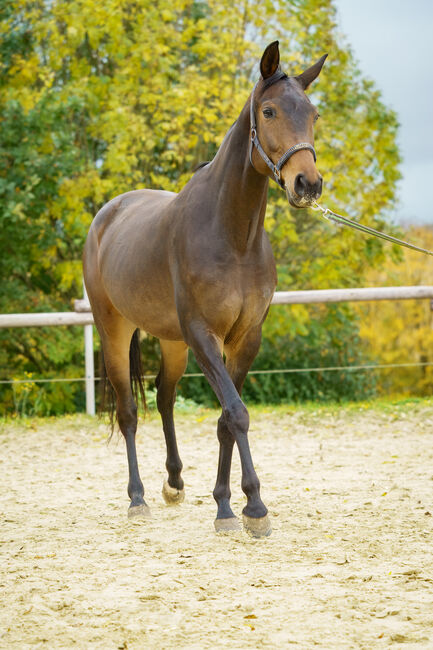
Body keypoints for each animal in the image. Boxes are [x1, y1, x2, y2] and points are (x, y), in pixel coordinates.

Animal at [83, 41, 326, 537]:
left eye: (312, 114)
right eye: (269, 111)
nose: (307, 184)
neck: (232, 236)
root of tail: (107, 215)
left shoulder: (244, 338)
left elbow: (224, 419)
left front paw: (226, 505)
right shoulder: (203, 336)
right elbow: (236, 413)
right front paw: (254, 507)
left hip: (172, 341)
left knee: (163, 397)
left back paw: (174, 483)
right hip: (114, 329)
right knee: (128, 411)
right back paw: (137, 498)